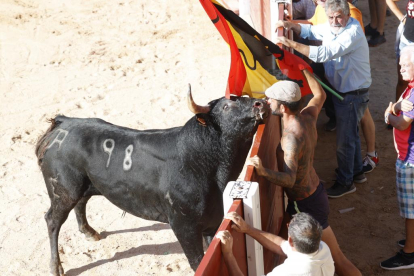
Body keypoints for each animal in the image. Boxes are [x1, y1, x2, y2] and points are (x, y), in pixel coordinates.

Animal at [34, 88, 268, 274]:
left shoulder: (213, 222)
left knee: (81, 203)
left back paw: (90, 233)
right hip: (63, 190)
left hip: (81, 186)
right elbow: (198, 261)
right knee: (53, 220)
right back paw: (56, 267)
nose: (261, 103)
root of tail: (64, 123)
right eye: (227, 106)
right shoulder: (184, 226)